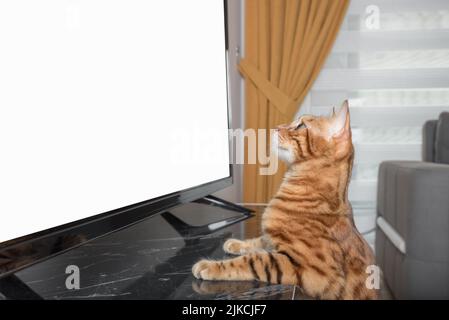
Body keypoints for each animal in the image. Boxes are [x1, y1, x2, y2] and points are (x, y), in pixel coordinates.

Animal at [191, 102, 376, 300]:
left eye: (301, 126)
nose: (276, 127)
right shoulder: (274, 241)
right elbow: (260, 241)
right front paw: (237, 243)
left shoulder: (307, 270)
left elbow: (254, 259)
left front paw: (210, 266)